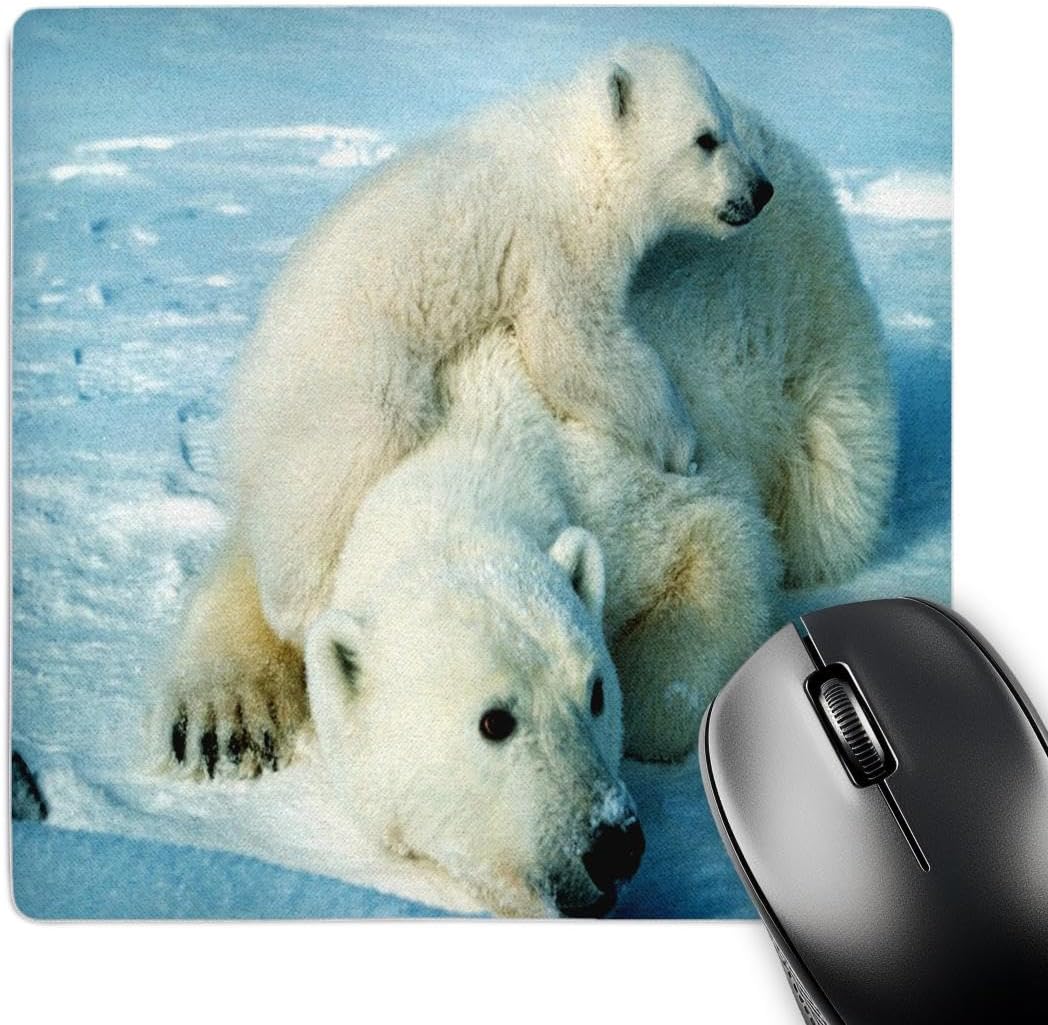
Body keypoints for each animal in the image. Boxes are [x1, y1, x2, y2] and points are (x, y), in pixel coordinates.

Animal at [227, 43, 775, 647]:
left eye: (728, 124)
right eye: (706, 138)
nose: (761, 190)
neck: (576, 158)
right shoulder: (556, 242)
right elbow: (573, 344)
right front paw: (683, 446)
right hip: (352, 366)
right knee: (344, 457)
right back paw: (303, 603)